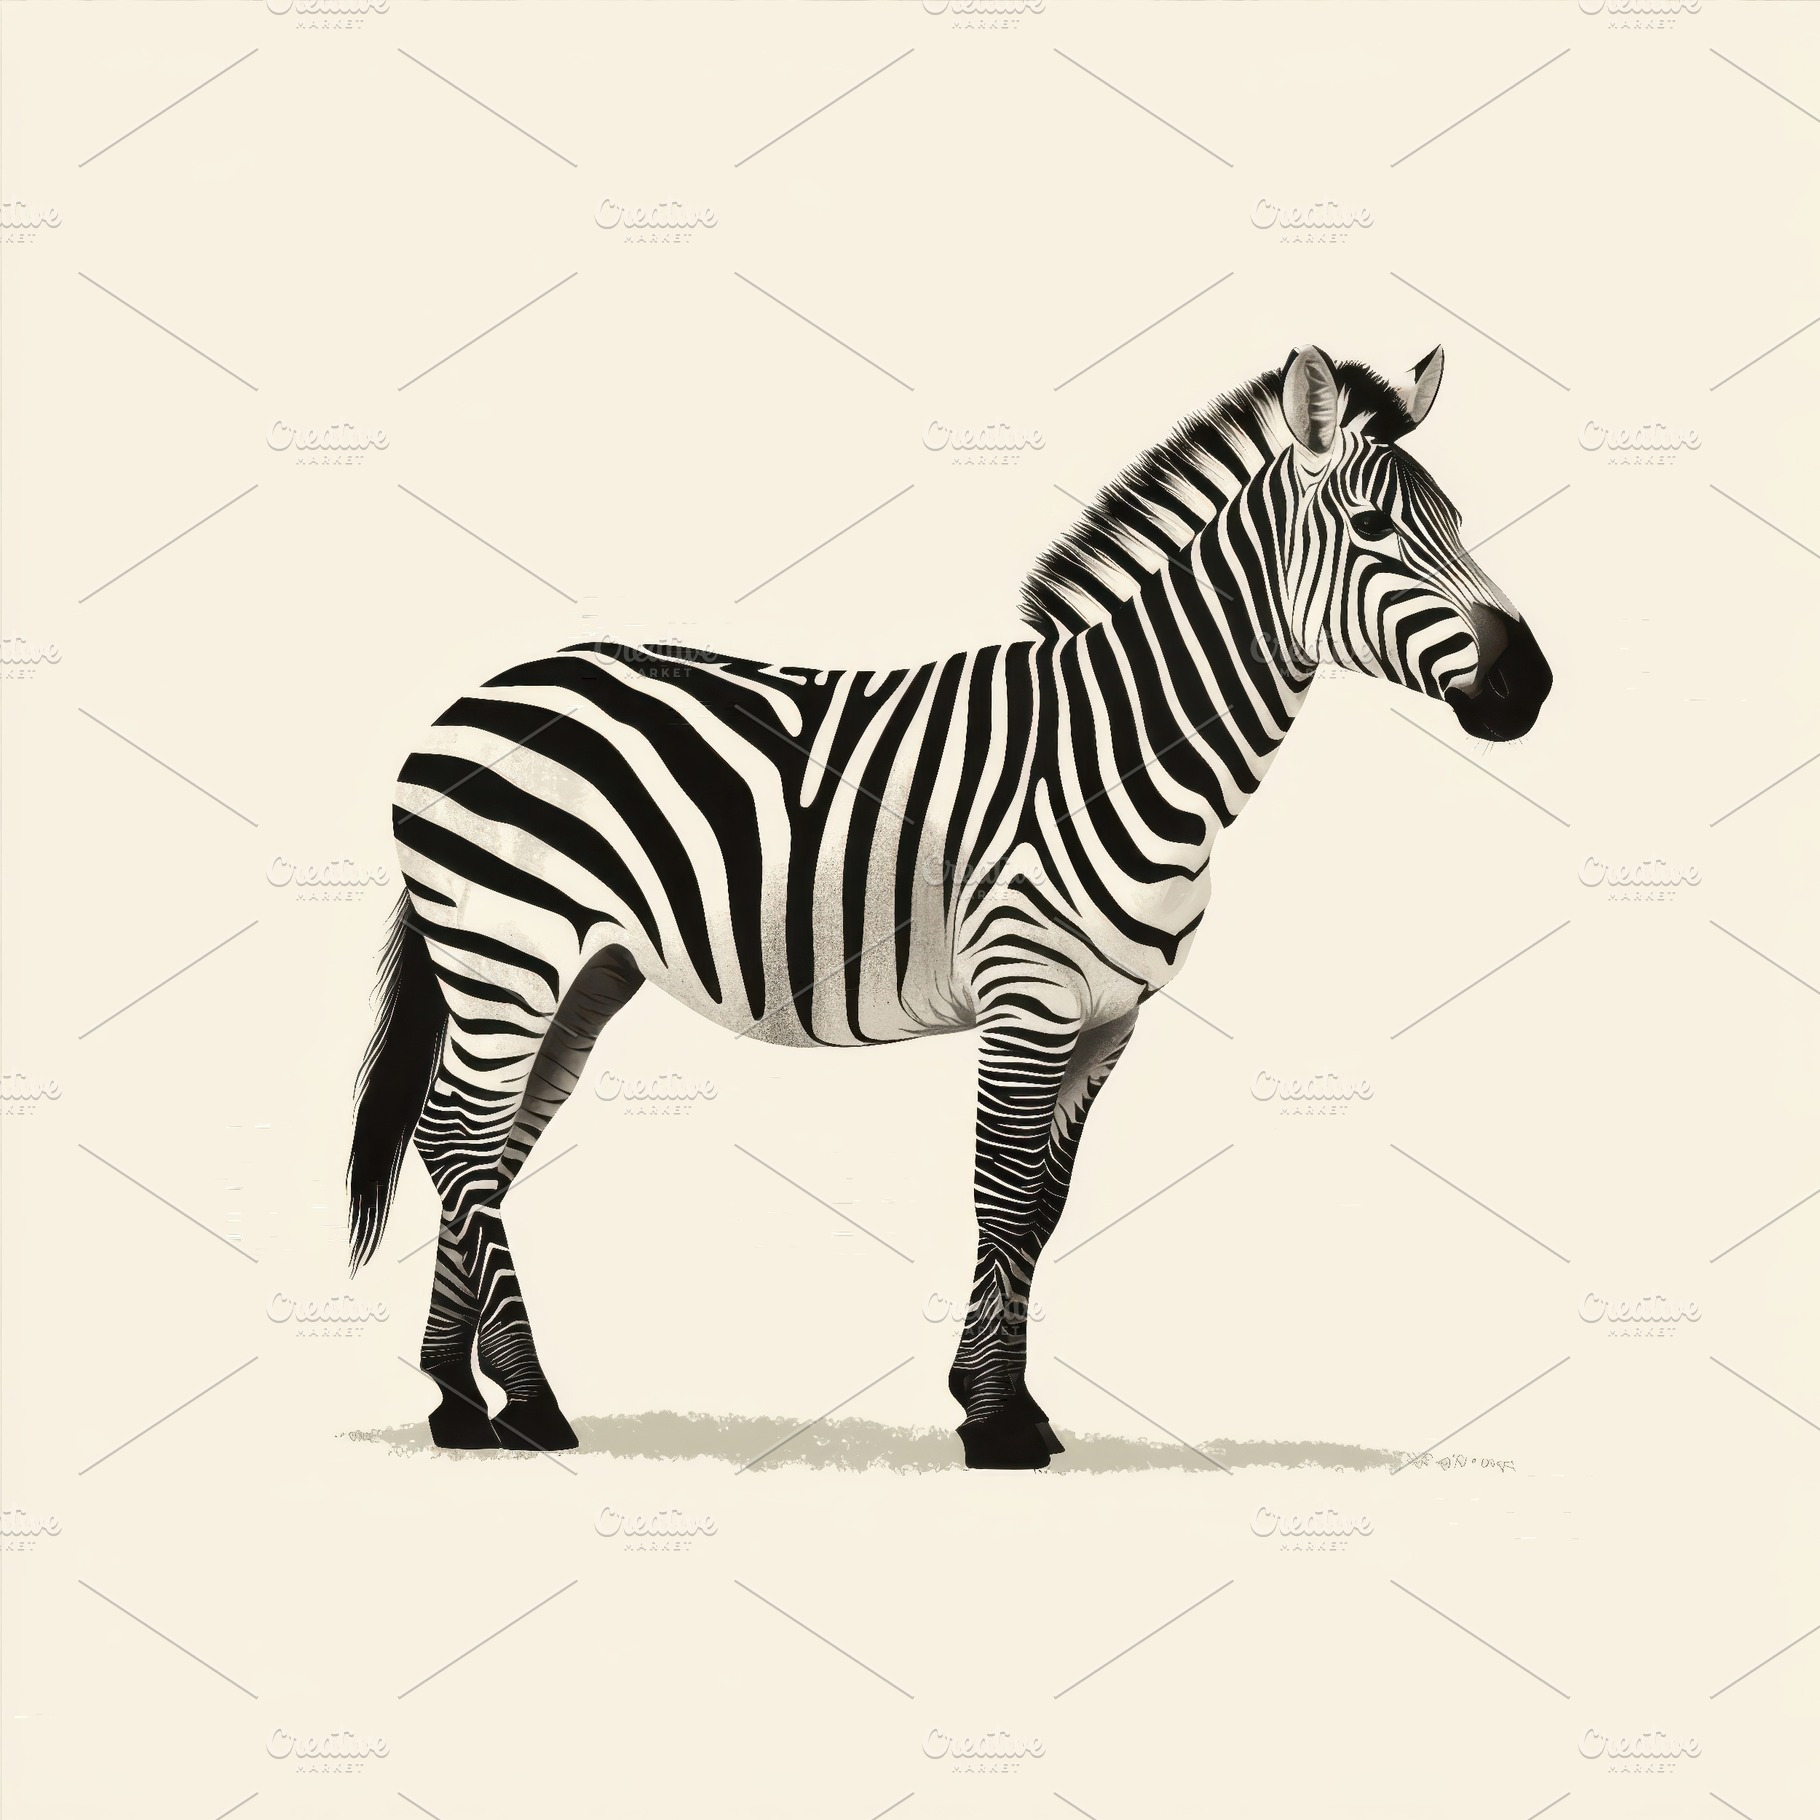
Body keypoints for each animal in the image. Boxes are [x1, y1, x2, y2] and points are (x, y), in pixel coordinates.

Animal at [348, 344, 1552, 1468]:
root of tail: (473, 694)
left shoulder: (1110, 1017)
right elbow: (1003, 1194)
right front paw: (994, 1420)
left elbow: (1046, 1209)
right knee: (458, 1139)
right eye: (1372, 527)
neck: (1124, 747)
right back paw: (530, 1402)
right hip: (506, 947)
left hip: (581, 975)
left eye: (1457, 522)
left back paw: (461, 1402)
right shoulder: (1029, 996)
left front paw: (1005, 1400)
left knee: (479, 1149)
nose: (1528, 686)